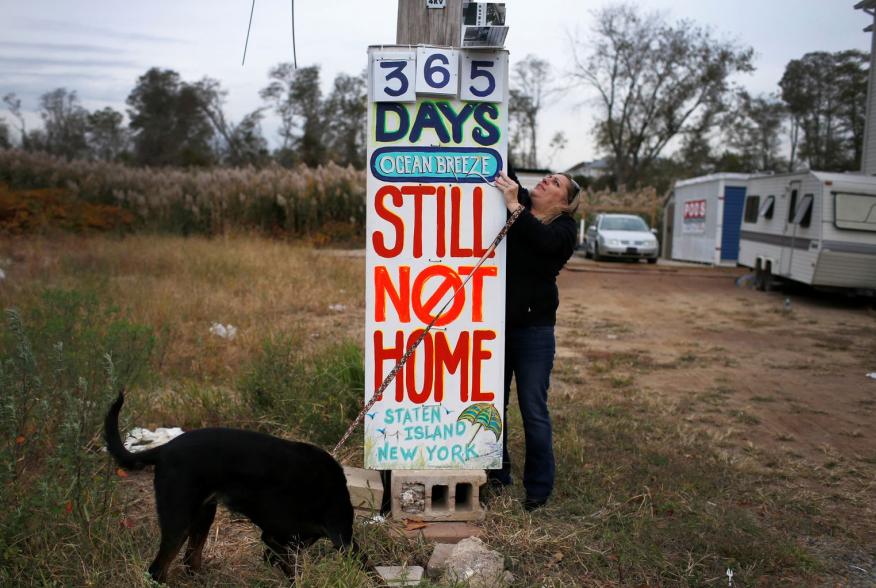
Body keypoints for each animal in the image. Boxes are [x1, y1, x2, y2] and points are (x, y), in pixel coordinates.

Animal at [103, 392, 362, 580]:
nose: (267, 559)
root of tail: (163, 450)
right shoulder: (279, 535)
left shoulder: (280, 537)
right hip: (179, 521)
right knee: (157, 569)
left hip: (204, 515)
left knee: (190, 560)